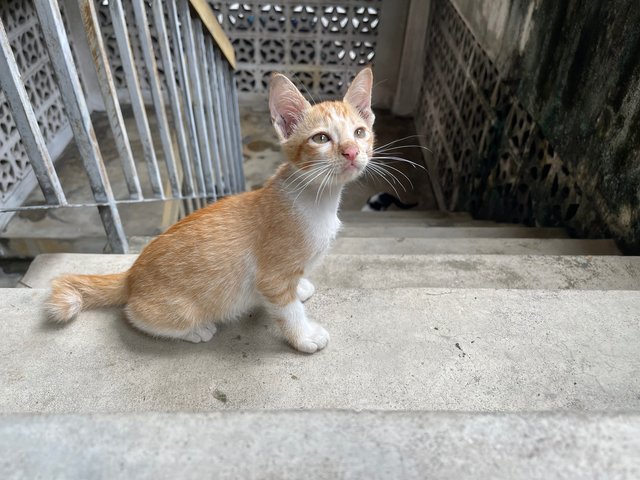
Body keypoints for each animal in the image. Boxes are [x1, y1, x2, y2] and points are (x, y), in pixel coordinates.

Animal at [47, 66, 378, 352]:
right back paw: (195, 330)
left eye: (360, 133)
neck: (317, 196)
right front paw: (304, 335)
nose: (351, 152)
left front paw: (300, 289)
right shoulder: (272, 277)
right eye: (321, 138)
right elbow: (288, 311)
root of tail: (130, 274)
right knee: (135, 316)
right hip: (177, 310)